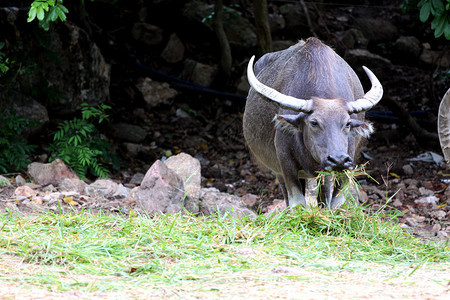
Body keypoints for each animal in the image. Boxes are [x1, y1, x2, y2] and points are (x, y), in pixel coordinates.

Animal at [243, 37, 384, 209]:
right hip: (278, 169)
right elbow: (297, 203)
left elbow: (334, 202)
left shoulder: (346, 161)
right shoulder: (285, 162)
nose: (338, 159)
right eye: (314, 123)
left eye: (347, 123)